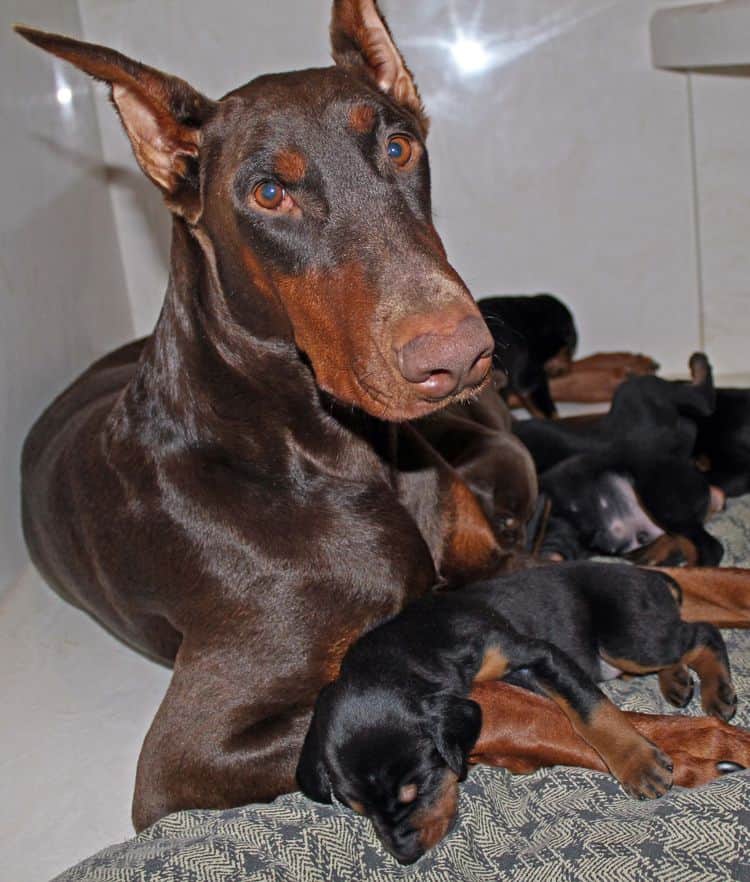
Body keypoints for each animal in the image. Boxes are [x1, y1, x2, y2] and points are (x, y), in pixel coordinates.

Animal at [296, 564, 736, 860]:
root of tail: (652, 575)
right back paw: (677, 681)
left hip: (628, 636)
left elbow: (590, 709)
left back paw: (718, 691)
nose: (406, 856)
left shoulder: (538, 655)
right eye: (359, 810)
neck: (407, 648)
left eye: (417, 789)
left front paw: (638, 764)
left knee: (702, 633)